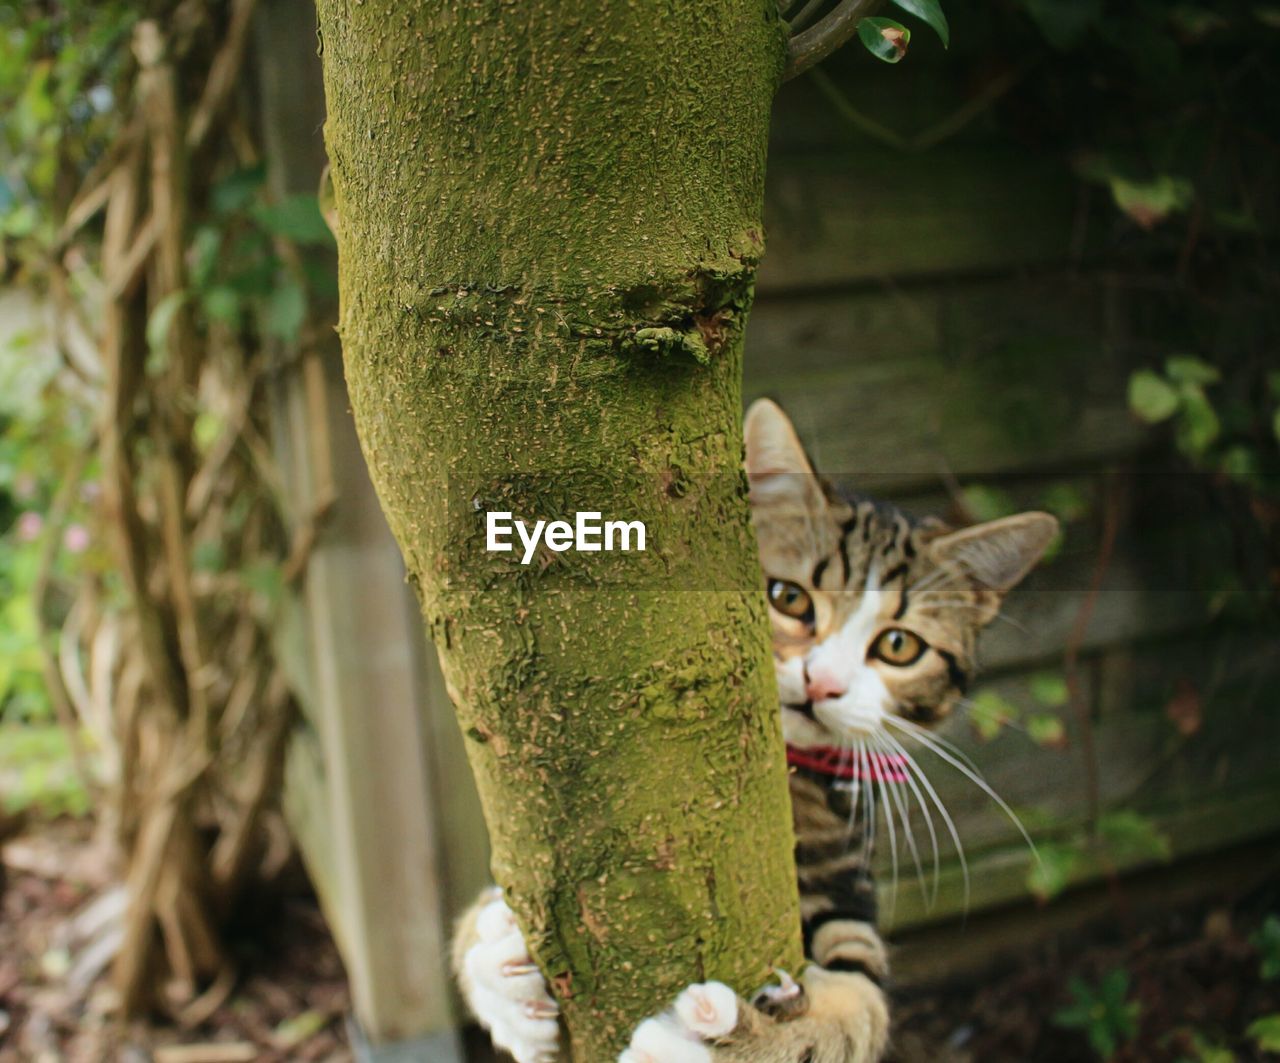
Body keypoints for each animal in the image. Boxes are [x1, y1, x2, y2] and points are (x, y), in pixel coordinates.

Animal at [455, 399, 1054, 1063]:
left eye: (899, 646)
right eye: (789, 598)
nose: (824, 683)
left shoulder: (846, 886)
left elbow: (857, 1005)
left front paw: (728, 1041)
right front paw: (498, 971)